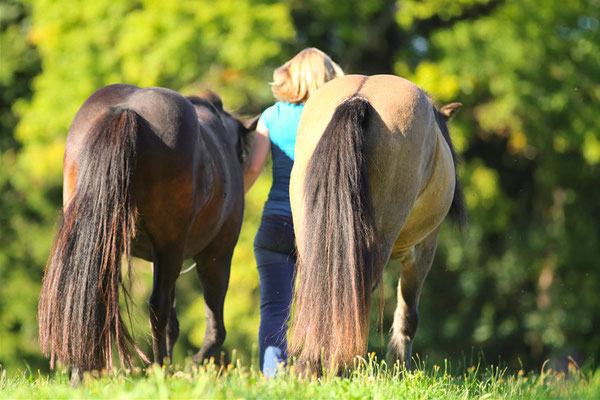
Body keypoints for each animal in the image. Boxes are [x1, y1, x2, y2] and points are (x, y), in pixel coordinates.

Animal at [37, 84, 258, 376]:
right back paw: (160, 367)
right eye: (242, 155)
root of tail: (127, 110)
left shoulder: (159, 257)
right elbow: (214, 328)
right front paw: (195, 363)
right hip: (175, 247)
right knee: (158, 306)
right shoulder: (216, 255)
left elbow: (174, 324)